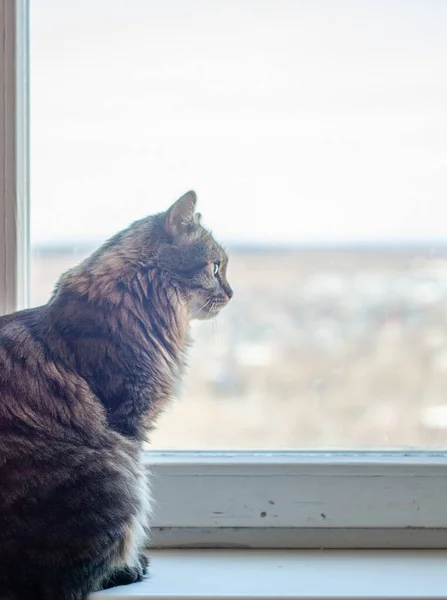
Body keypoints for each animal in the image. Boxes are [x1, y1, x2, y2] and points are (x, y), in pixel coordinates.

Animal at [0, 193, 233, 600]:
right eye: (215, 266)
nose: (231, 292)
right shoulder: (128, 423)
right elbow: (135, 526)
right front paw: (129, 562)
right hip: (114, 471)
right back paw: (126, 571)